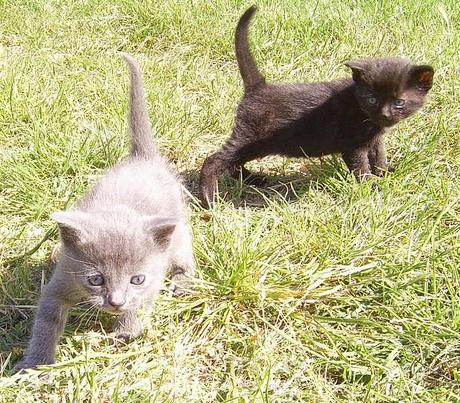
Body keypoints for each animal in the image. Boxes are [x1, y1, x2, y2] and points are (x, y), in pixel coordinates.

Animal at [14, 52, 194, 372]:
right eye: (96, 280)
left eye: (137, 279)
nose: (116, 302)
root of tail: (144, 159)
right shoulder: (63, 279)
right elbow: (46, 321)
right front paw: (36, 363)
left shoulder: (152, 280)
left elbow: (141, 304)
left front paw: (125, 333)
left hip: (177, 231)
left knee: (185, 248)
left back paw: (184, 281)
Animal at [199, 5, 434, 208]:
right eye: (372, 99)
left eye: (398, 102)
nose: (385, 114)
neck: (364, 115)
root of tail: (258, 87)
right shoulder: (352, 144)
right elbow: (361, 165)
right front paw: (369, 184)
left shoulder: (375, 139)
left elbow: (379, 156)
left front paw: (385, 173)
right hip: (250, 137)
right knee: (215, 160)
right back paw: (209, 200)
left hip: (257, 144)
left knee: (233, 162)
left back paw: (255, 179)